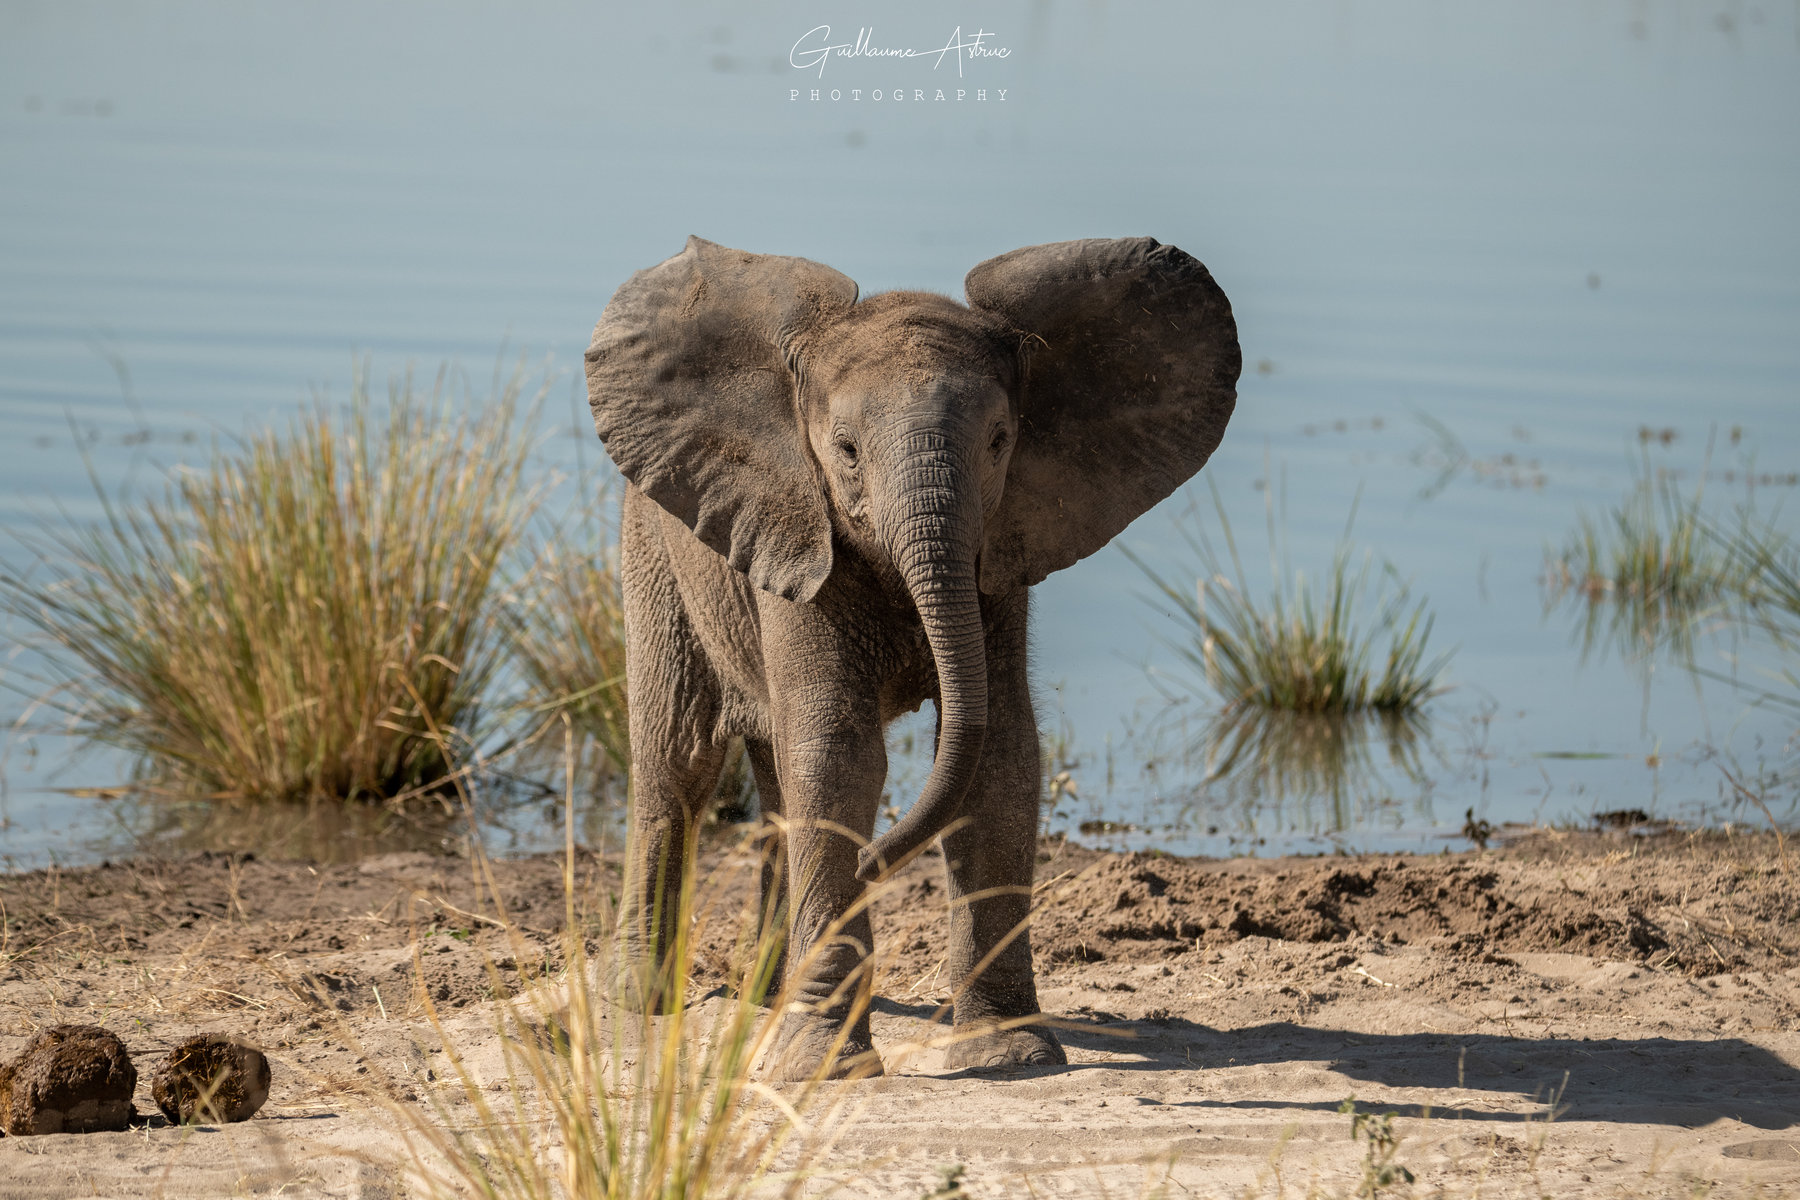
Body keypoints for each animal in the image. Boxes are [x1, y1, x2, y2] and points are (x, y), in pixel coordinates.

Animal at [590, 233, 1238, 1079]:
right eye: (844, 449)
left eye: (999, 443)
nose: (874, 871)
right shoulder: (801, 533)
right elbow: (838, 756)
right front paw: (825, 1068)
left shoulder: (1001, 558)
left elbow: (998, 756)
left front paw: (1011, 1055)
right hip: (654, 545)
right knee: (677, 761)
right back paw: (644, 1001)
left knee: (769, 779)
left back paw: (770, 992)